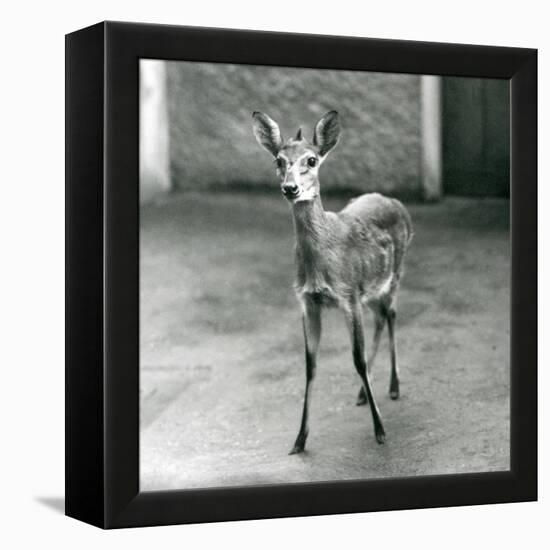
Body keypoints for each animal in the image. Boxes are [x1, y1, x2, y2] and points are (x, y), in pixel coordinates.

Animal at [254, 110, 414, 454]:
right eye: (278, 161)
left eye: (312, 160)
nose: (290, 188)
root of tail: (395, 202)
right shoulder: (308, 302)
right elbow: (310, 365)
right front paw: (299, 440)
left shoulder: (347, 295)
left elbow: (356, 360)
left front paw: (380, 431)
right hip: (371, 289)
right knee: (381, 317)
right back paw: (364, 394)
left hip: (394, 275)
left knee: (392, 314)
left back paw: (394, 387)